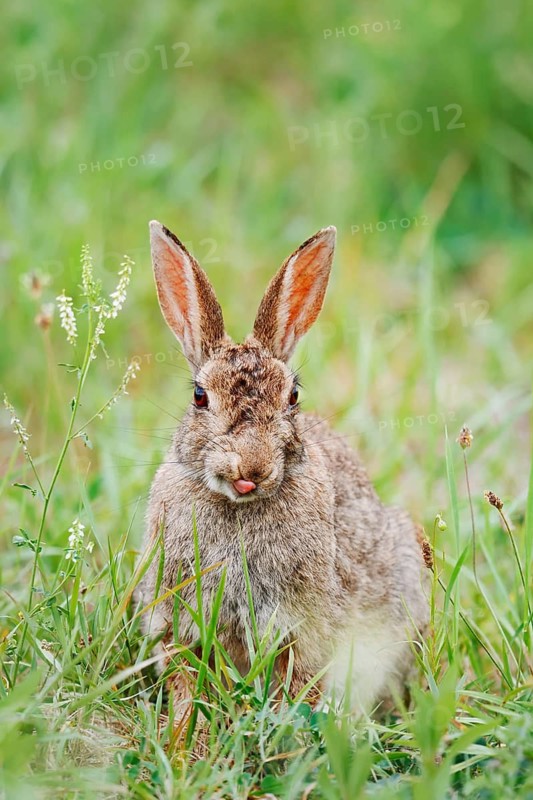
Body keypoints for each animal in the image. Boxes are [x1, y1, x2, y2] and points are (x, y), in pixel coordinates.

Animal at [139, 220, 429, 716]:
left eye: (292, 396)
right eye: (199, 396)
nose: (251, 466)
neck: (238, 507)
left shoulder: (305, 628)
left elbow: (300, 683)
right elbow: (184, 681)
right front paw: (181, 728)